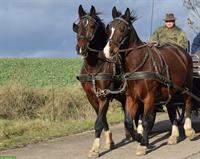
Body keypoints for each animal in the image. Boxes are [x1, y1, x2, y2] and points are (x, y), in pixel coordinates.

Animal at [72, 4, 127, 158]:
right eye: (78, 26)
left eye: (92, 26)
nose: (80, 48)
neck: (94, 66)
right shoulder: (91, 97)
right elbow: (102, 119)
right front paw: (110, 142)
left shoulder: (105, 96)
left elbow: (98, 123)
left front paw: (95, 149)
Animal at [103, 7, 195, 155]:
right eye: (108, 28)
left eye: (123, 29)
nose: (108, 51)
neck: (139, 66)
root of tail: (182, 51)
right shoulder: (131, 97)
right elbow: (128, 122)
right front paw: (139, 137)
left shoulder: (149, 97)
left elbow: (146, 120)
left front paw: (143, 144)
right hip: (170, 90)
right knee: (172, 108)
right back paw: (173, 136)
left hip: (187, 87)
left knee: (187, 103)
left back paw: (189, 130)